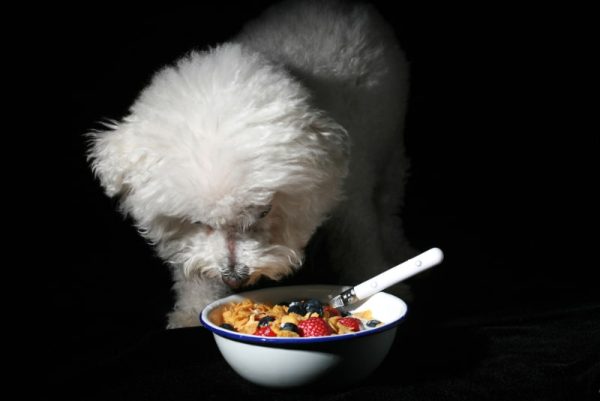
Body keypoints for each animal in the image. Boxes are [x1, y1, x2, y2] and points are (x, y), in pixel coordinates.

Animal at [88, 0, 412, 326]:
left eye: (264, 211)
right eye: (197, 221)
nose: (234, 277)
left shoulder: (350, 197)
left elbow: (359, 244)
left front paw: (382, 278)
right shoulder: (188, 240)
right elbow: (194, 268)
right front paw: (191, 314)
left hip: (391, 152)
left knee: (387, 207)